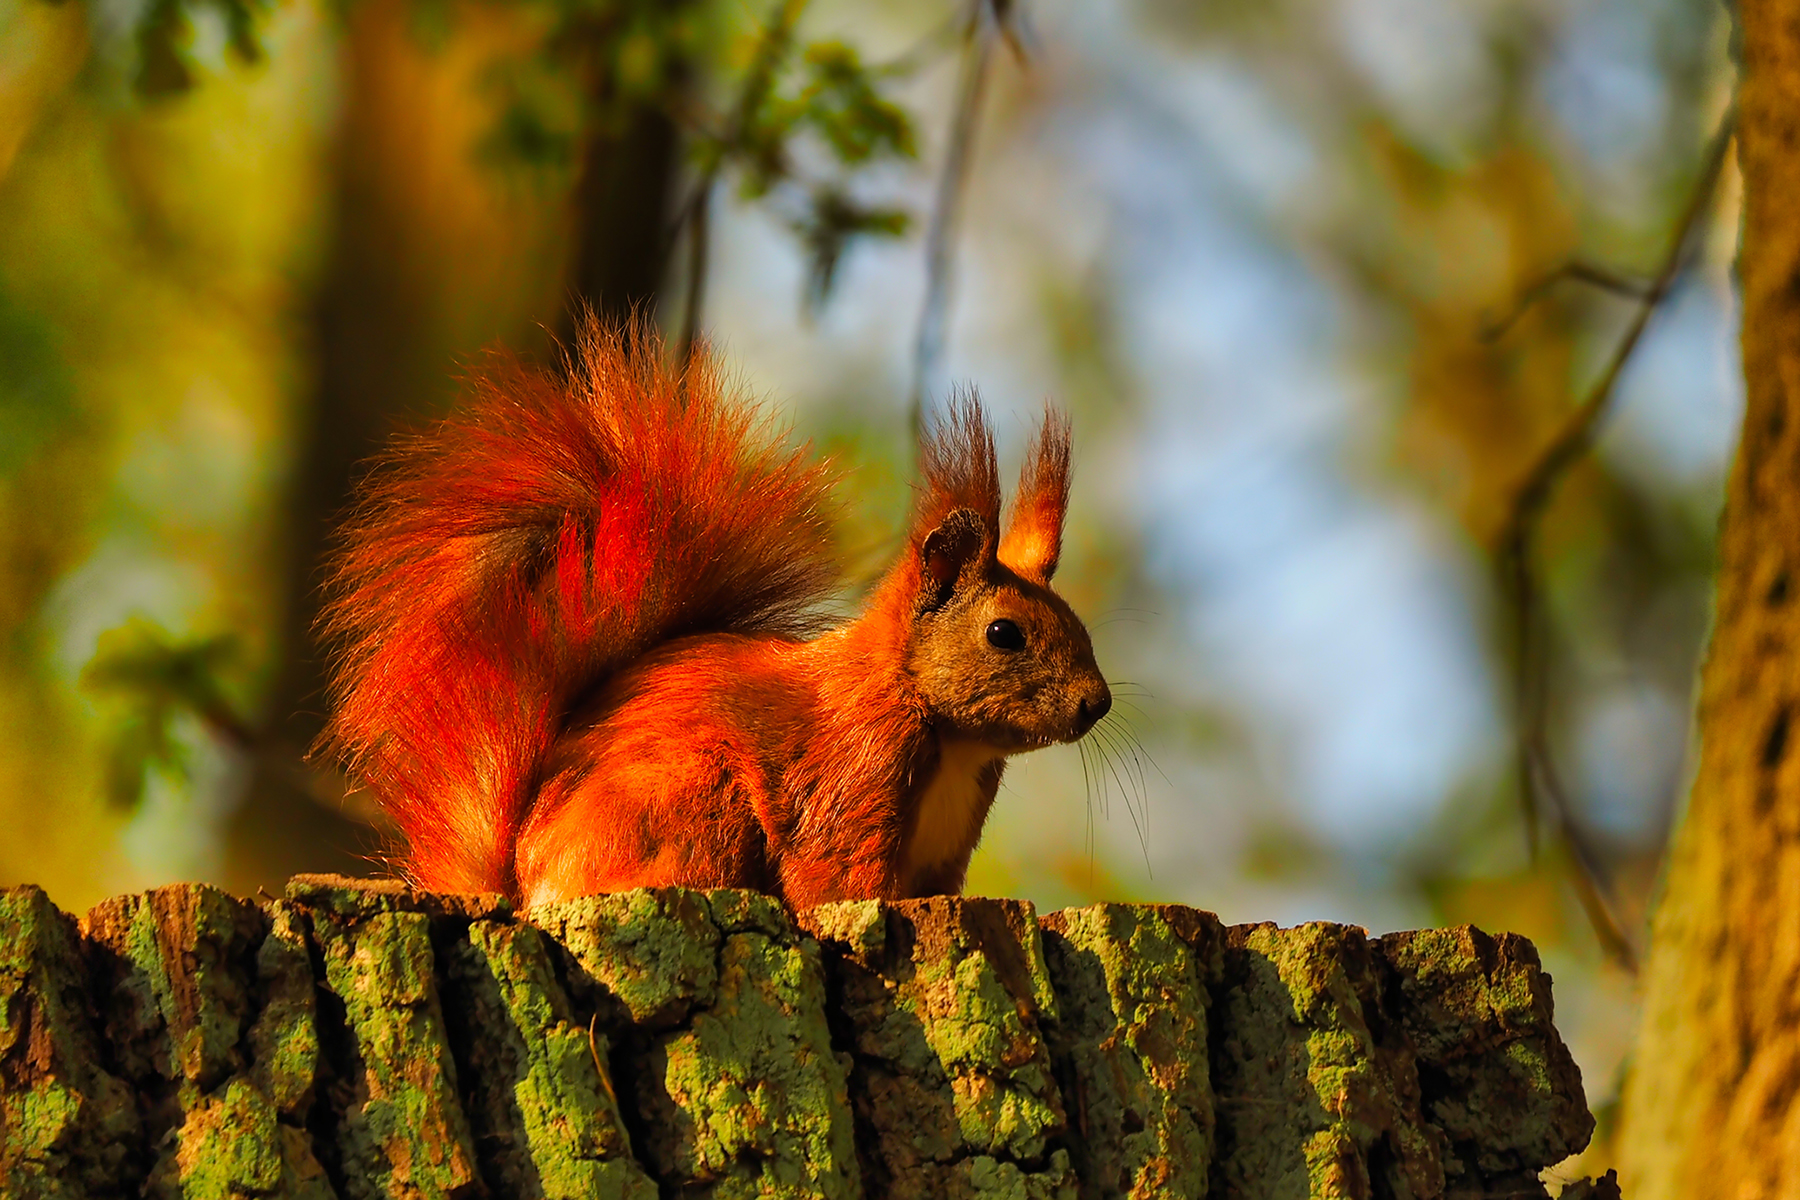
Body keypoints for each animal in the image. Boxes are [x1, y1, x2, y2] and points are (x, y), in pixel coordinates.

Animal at [324, 318, 1108, 910]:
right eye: (1004, 633)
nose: (1095, 703)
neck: (939, 726)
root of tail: (521, 883)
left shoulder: (945, 856)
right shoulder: (850, 780)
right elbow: (831, 884)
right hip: (692, 802)